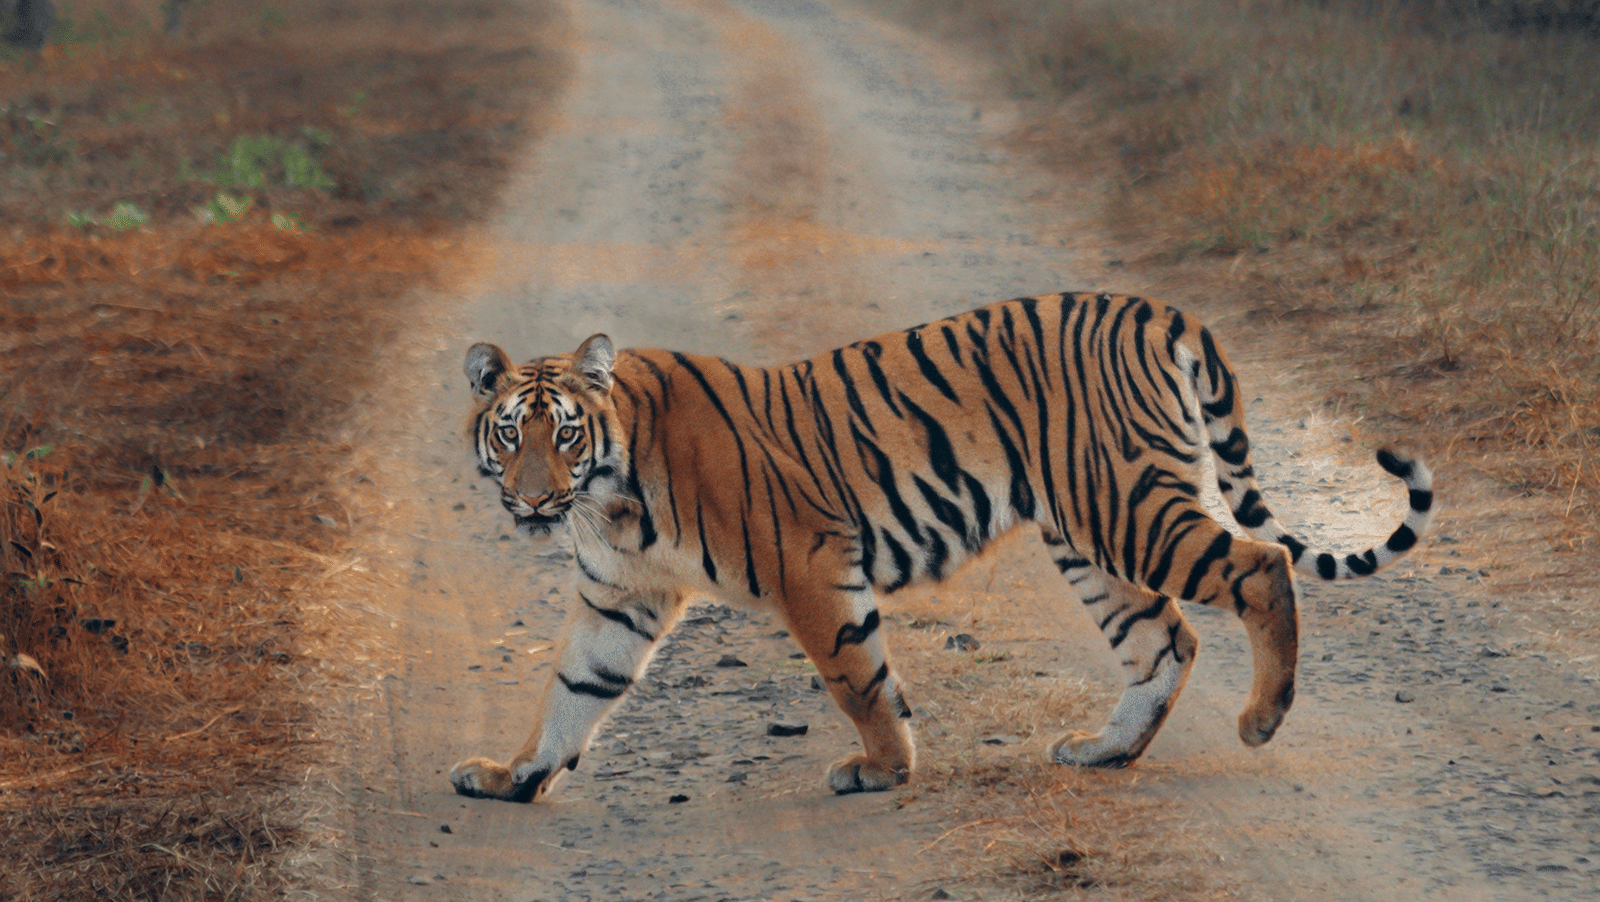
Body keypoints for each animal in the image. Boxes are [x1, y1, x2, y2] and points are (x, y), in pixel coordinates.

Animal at [448, 291, 1434, 803]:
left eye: (565, 433)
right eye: (509, 433)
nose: (531, 499)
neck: (607, 499)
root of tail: (1152, 307)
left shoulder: (812, 565)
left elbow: (857, 677)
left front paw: (883, 768)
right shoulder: (619, 601)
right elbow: (572, 692)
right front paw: (512, 775)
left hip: (1126, 509)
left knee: (1262, 567)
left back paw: (1262, 718)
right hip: (1089, 536)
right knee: (1168, 641)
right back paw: (1105, 752)